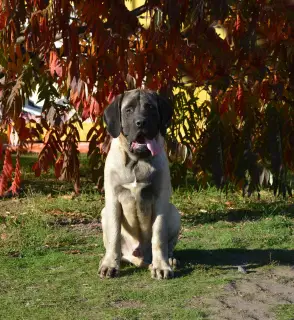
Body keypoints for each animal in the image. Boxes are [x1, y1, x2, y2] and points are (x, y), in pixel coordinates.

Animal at [99, 89, 180, 278]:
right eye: (128, 110)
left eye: (150, 108)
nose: (141, 122)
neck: (137, 161)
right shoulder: (113, 200)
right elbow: (114, 235)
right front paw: (110, 265)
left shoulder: (160, 200)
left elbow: (159, 235)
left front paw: (161, 266)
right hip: (104, 213)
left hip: (174, 213)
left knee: (168, 245)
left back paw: (169, 259)